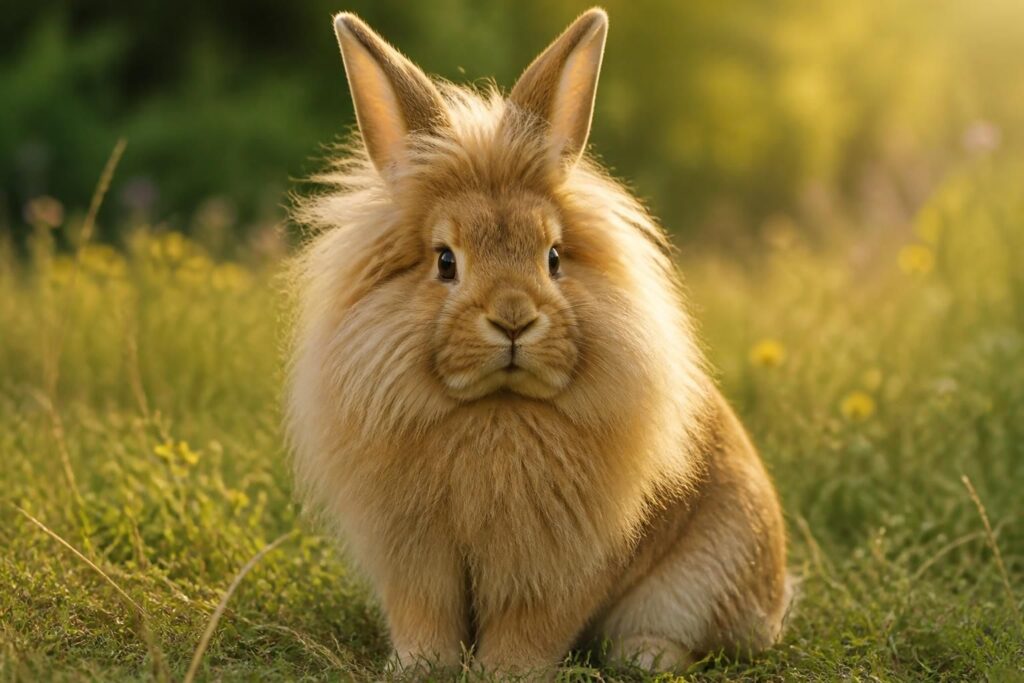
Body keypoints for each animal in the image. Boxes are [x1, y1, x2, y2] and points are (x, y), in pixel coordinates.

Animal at [287, 7, 791, 676]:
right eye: (445, 261)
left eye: (553, 257)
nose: (513, 319)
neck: (495, 409)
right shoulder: (416, 565)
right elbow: (424, 621)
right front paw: (421, 668)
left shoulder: (557, 572)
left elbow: (529, 629)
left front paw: (507, 674)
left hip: (699, 580)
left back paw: (643, 657)